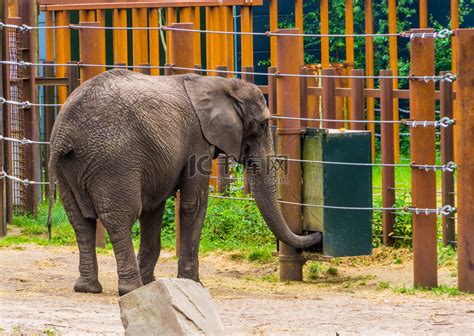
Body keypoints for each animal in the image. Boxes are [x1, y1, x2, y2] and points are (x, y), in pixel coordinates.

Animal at [48, 69, 322, 296]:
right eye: (263, 124)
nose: (316, 235)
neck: (220, 84)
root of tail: (65, 133)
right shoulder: (198, 141)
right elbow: (195, 204)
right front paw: (193, 284)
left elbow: (153, 209)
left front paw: (152, 283)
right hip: (114, 161)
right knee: (120, 218)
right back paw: (130, 289)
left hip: (67, 168)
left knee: (80, 221)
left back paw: (88, 288)